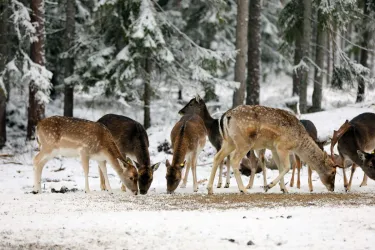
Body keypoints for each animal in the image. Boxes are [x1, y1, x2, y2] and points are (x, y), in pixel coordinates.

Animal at [206, 104, 340, 194]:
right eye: (333, 171)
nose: (332, 188)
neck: (298, 142)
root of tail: (226, 116)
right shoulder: (282, 146)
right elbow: (286, 167)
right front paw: (268, 186)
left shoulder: (274, 148)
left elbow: (280, 167)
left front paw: (284, 189)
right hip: (243, 142)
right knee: (234, 161)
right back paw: (243, 189)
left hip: (229, 141)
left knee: (217, 157)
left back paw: (210, 189)